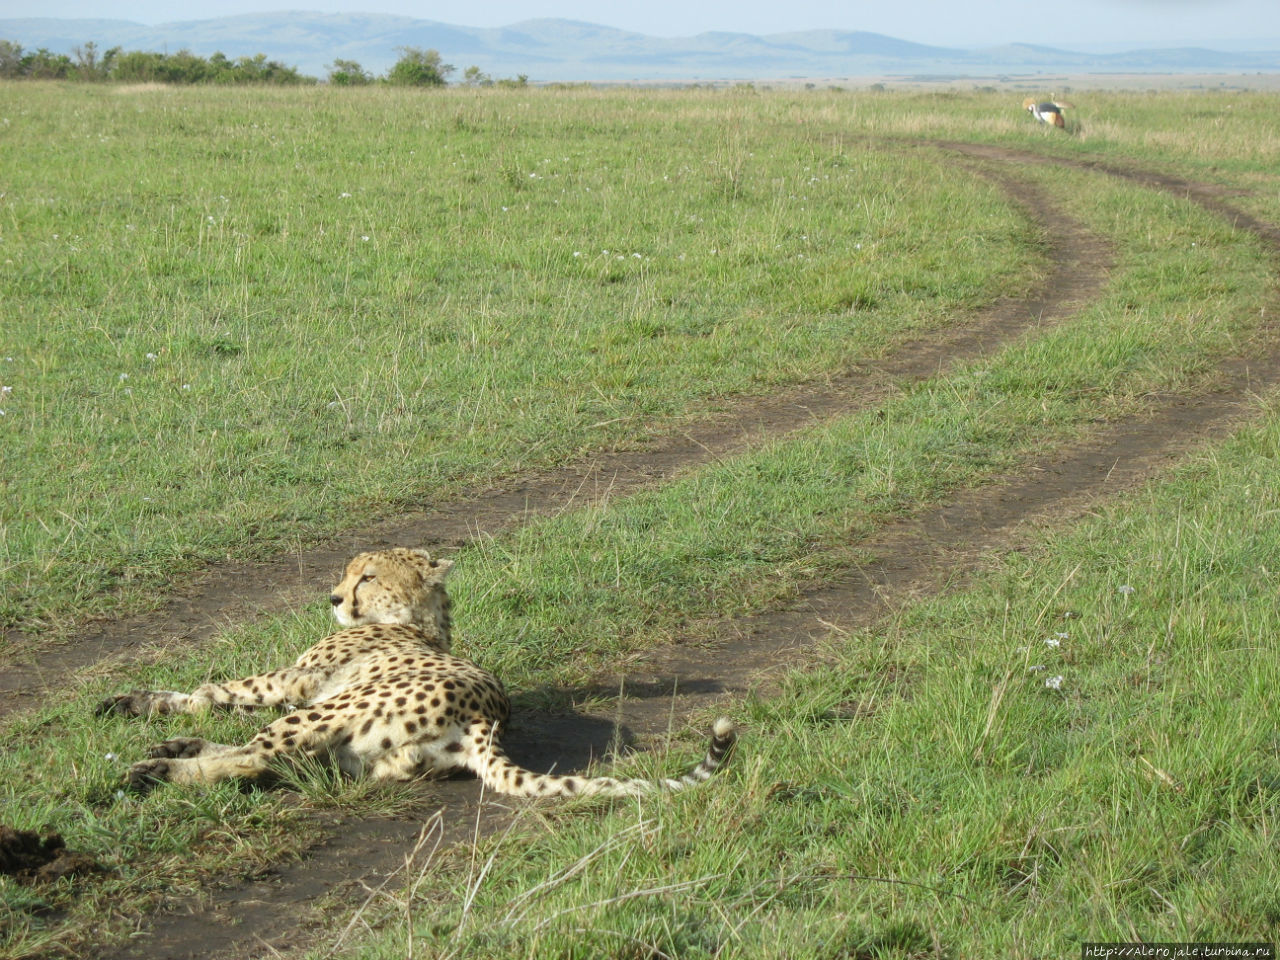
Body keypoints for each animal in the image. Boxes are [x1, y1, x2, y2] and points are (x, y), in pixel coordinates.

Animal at [97, 547, 742, 798]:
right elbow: (219, 697)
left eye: (366, 576)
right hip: (365, 757)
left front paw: (141, 701)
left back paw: (155, 769)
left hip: (328, 711)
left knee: (257, 756)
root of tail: (484, 719)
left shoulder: (296, 682)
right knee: (271, 762)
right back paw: (173, 751)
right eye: (348, 573)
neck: (416, 621)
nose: (333, 598)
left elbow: (218, 689)